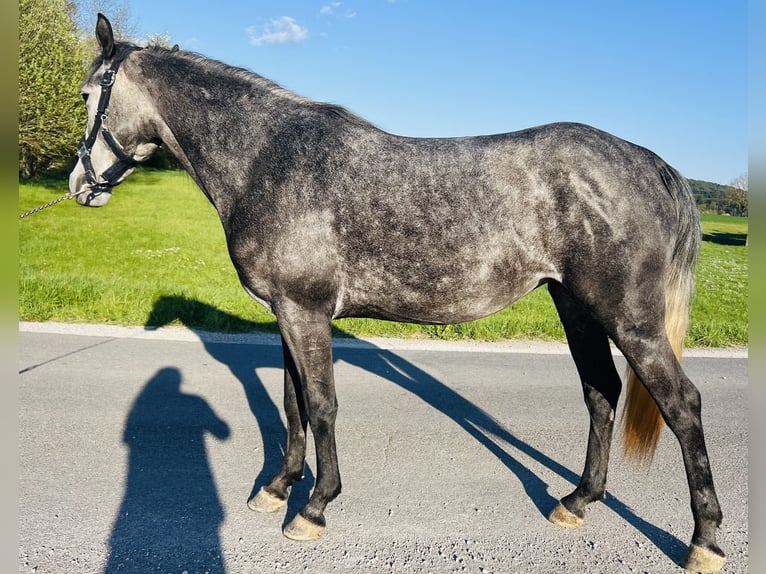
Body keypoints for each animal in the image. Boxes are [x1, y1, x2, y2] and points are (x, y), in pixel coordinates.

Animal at [68, 14, 725, 572]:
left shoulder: (305, 313)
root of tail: (648, 161)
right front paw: (277, 488)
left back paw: (704, 541)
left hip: (629, 319)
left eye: (85, 95)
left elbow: (322, 406)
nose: (79, 185)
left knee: (682, 404)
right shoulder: (286, 314)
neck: (269, 160)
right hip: (577, 306)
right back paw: (578, 500)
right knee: (601, 393)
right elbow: (292, 404)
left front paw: (313, 508)